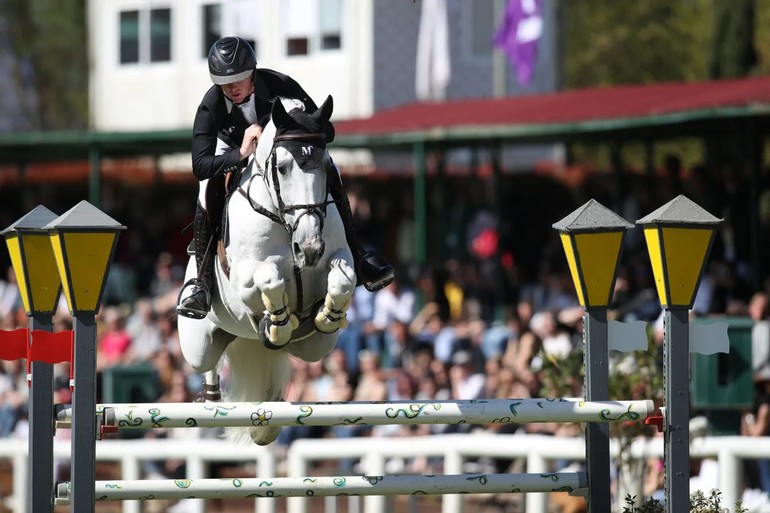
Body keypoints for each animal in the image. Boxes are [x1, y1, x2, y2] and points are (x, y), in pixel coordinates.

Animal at [177, 96, 354, 444]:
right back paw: (211, 394)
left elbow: (344, 279)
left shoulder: (341, 257)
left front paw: (326, 315)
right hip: (197, 343)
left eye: (326, 166)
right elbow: (269, 279)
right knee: (208, 360)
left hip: (316, 348)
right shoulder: (244, 277)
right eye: (282, 167)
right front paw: (277, 324)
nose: (309, 248)